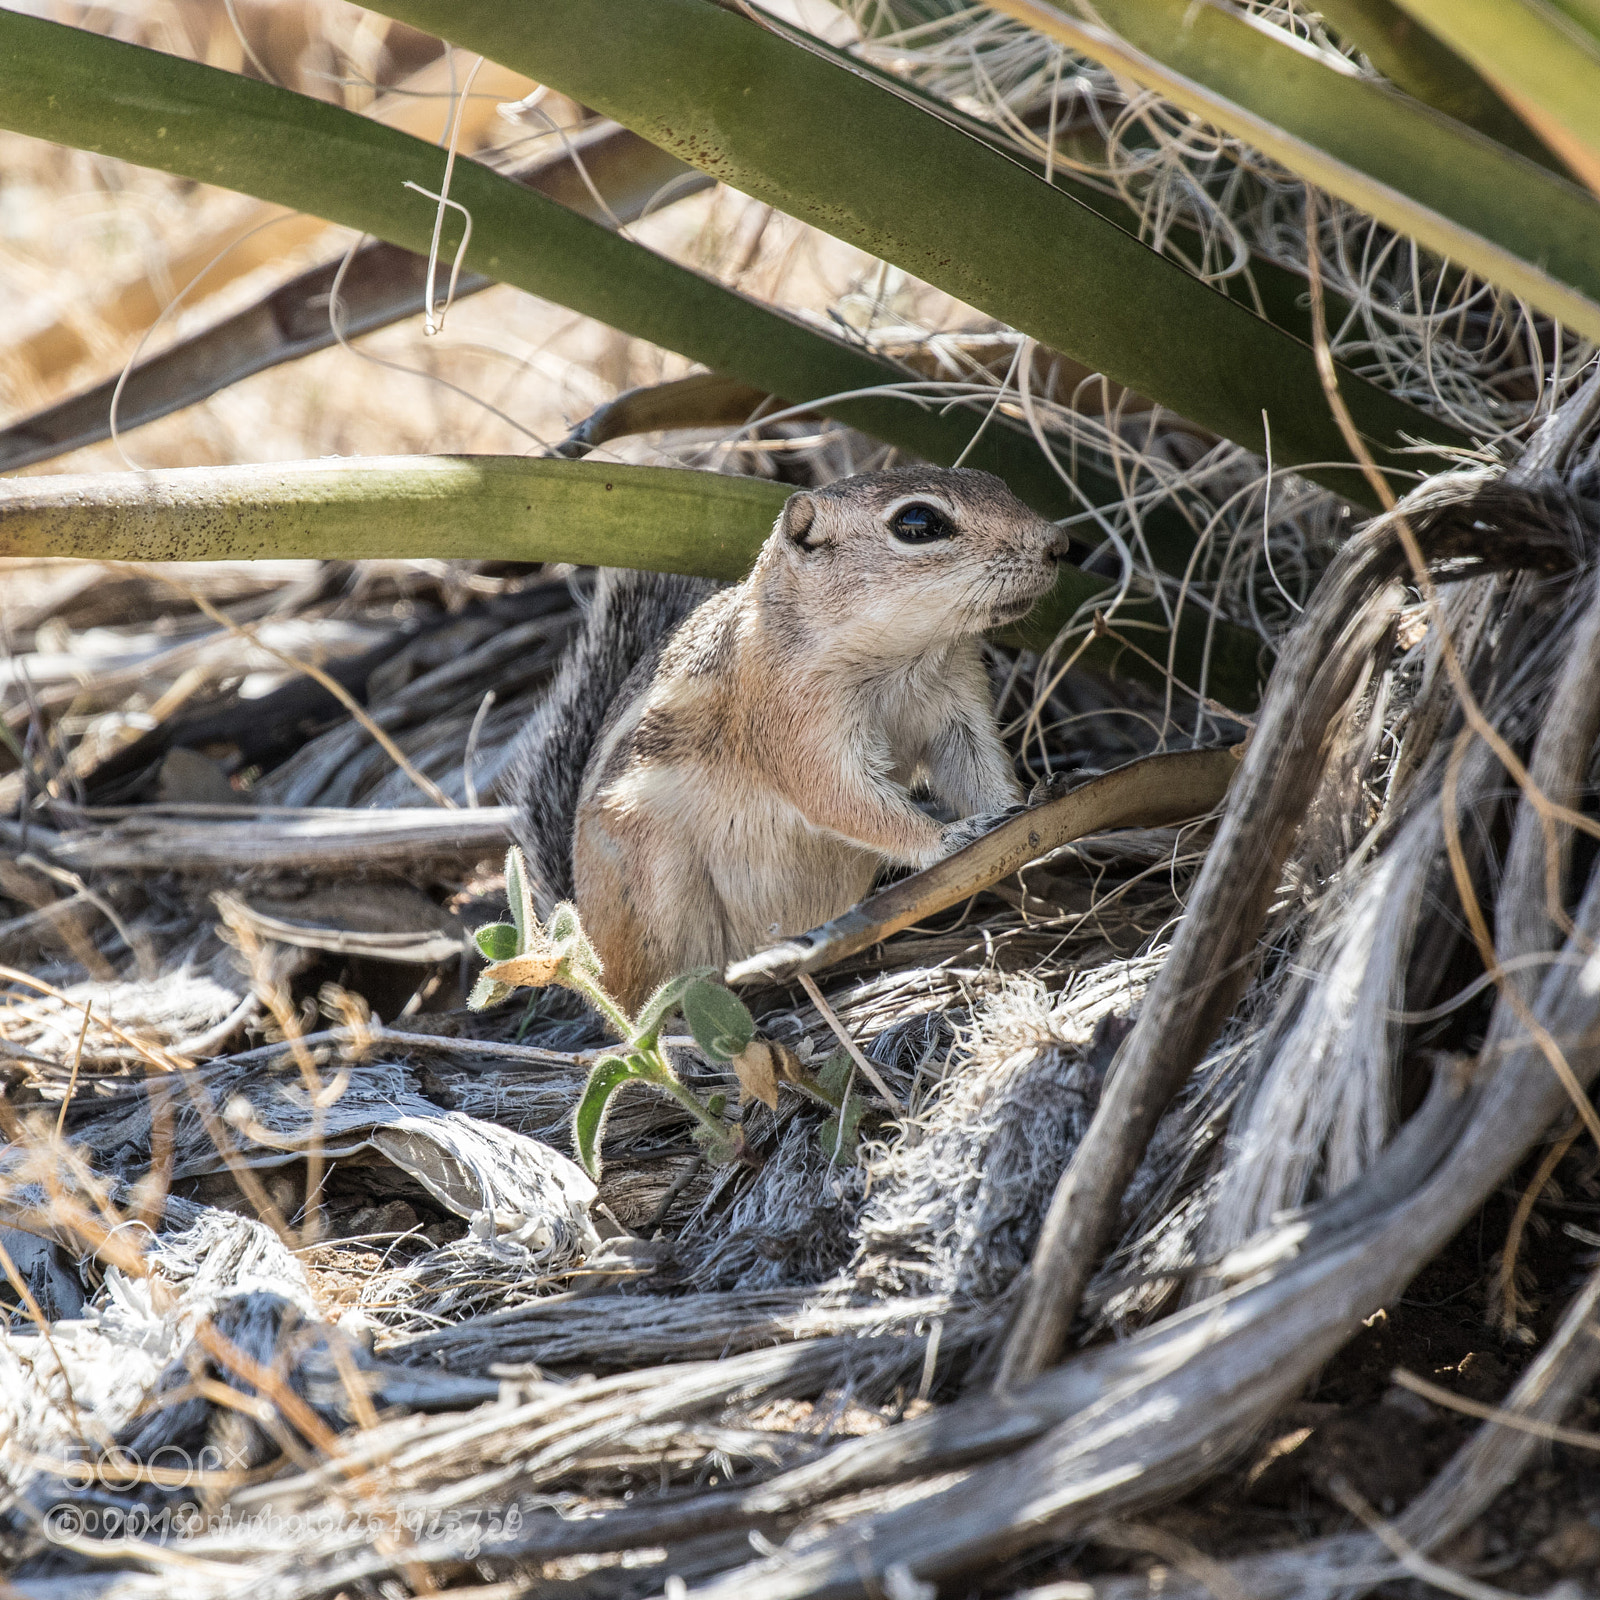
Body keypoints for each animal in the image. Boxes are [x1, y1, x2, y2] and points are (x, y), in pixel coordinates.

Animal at [507, 466, 1064, 1008]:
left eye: (997, 482)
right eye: (919, 523)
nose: (1057, 543)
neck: (904, 657)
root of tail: (579, 923)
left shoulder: (958, 707)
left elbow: (976, 769)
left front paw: (1032, 807)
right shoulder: (794, 721)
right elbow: (838, 796)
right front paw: (948, 838)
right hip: (652, 890)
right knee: (635, 1002)